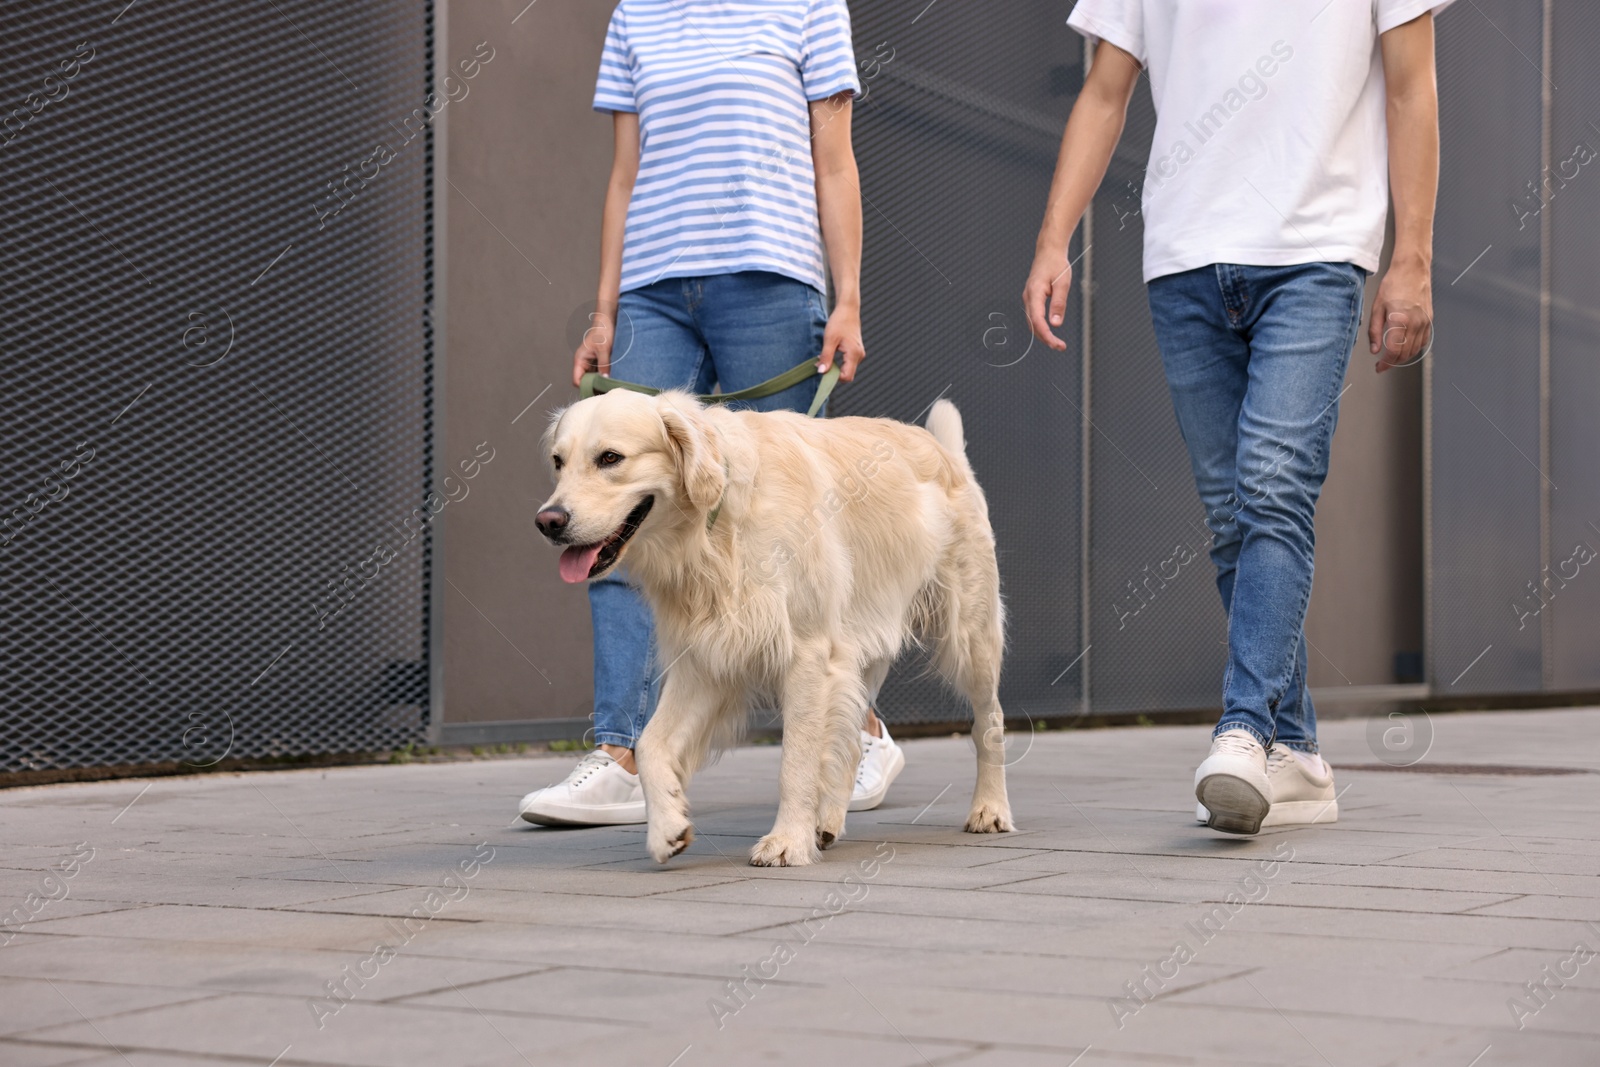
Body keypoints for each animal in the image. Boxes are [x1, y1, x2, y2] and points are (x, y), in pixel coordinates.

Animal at [537, 391, 1011, 870]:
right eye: (558, 461)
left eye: (610, 458)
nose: (548, 522)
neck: (715, 522)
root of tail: (944, 450)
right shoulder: (707, 660)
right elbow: (652, 744)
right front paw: (667, 827)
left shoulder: (807, 654)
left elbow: (795, 761)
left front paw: (786, 841)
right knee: (849, 744)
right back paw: (828, 822)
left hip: (971, 639)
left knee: (988, 723)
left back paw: (990, 808)